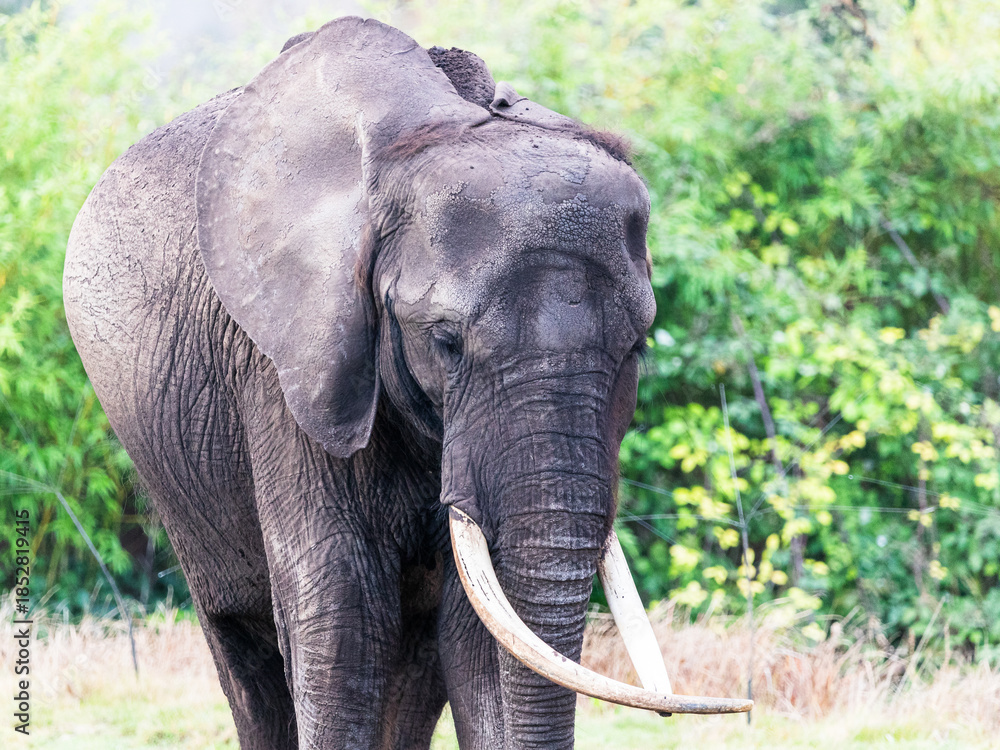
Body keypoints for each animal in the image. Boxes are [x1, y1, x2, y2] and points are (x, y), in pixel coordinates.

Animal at [64, 17, 750, 750]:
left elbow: (477, 633)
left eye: (637, 347)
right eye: (445, 341)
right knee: (247, 657)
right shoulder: (289, 360)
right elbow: (342, 614)